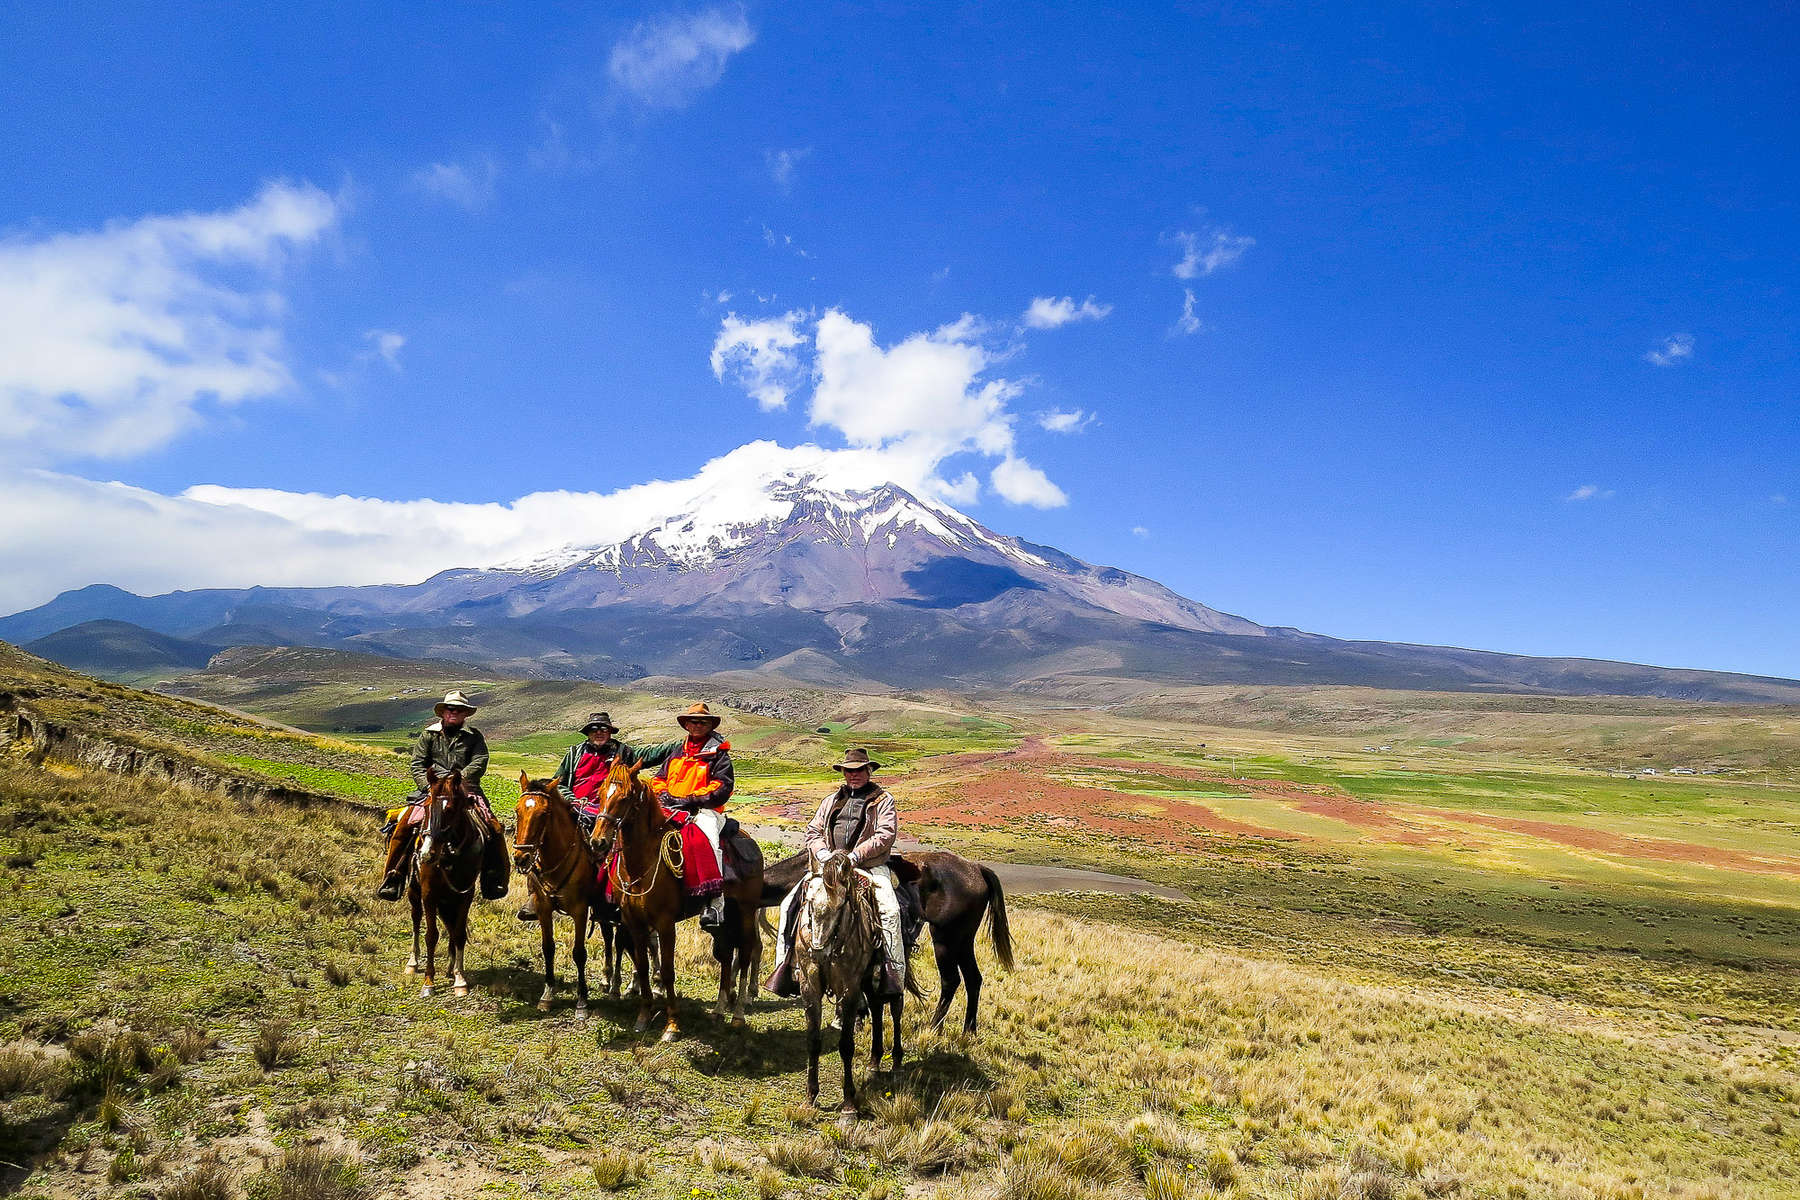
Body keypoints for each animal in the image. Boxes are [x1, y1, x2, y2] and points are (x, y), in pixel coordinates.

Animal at [410, 766, 489, 1000]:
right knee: (416, 920)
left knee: (451, 927)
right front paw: (428, 982)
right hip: (414, 892)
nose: (426, 854)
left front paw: (459, 979)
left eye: (452, 809)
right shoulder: (428, 893)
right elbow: (431, 935)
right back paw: (412, 962)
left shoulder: (465, 894)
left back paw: (450, 968)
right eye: (427, 806)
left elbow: (459, 933)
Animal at [586, 770, 763, 1043]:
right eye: (602, 793)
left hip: (746, 912)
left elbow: (668, 971)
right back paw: (719, 1011)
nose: (598, 842)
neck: (642, 862)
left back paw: (737, 1015)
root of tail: (749, 841)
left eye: (624, 797)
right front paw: (643, 1017)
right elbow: (642, 966)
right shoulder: (634, 923)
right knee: (725, 956)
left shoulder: (665, 923)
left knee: (744, 955)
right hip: (724, 920)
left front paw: (672, 1025)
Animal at [759, 845, 1015, 1036]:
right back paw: (968, 1030)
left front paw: (854, 1020)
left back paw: (934, 1027)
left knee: (950, 980)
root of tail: (976, 869)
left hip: (945, 939)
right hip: (962, 942)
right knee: (973, 979)